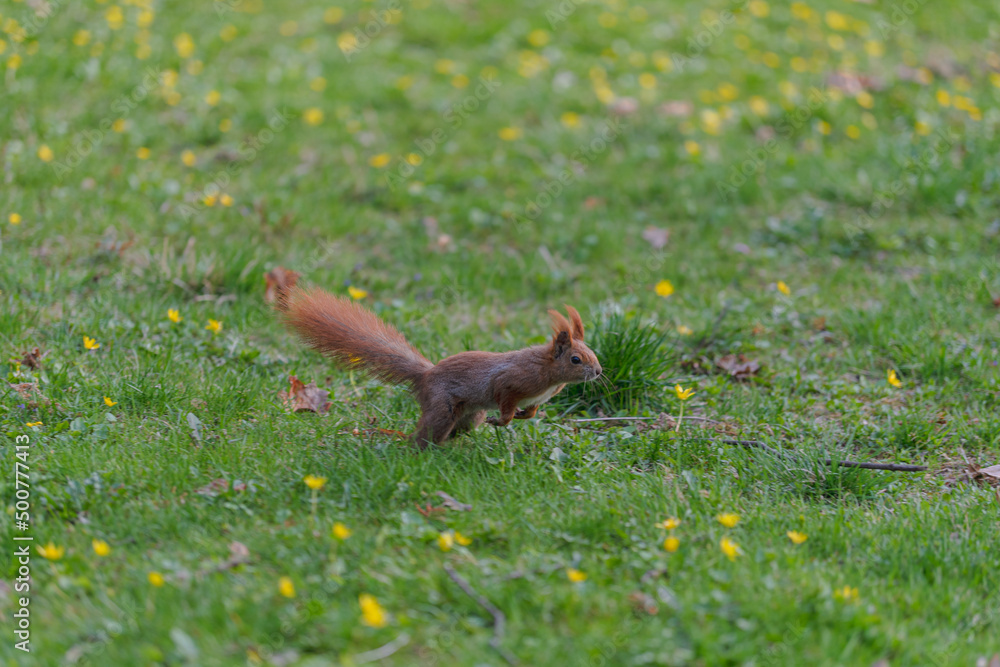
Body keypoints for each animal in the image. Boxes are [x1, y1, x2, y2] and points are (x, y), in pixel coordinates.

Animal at [281, 286, 602, 447]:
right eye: (576, 359)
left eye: (592, 353)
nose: (599, 372)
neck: (550, 374)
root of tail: (425, 377)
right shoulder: (512, 380)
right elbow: (505, 401)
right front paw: (503, 421)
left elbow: (532, 411)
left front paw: (525, 415)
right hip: (442, 407)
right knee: (424, 436)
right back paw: (420, 447)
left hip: (469, 415)